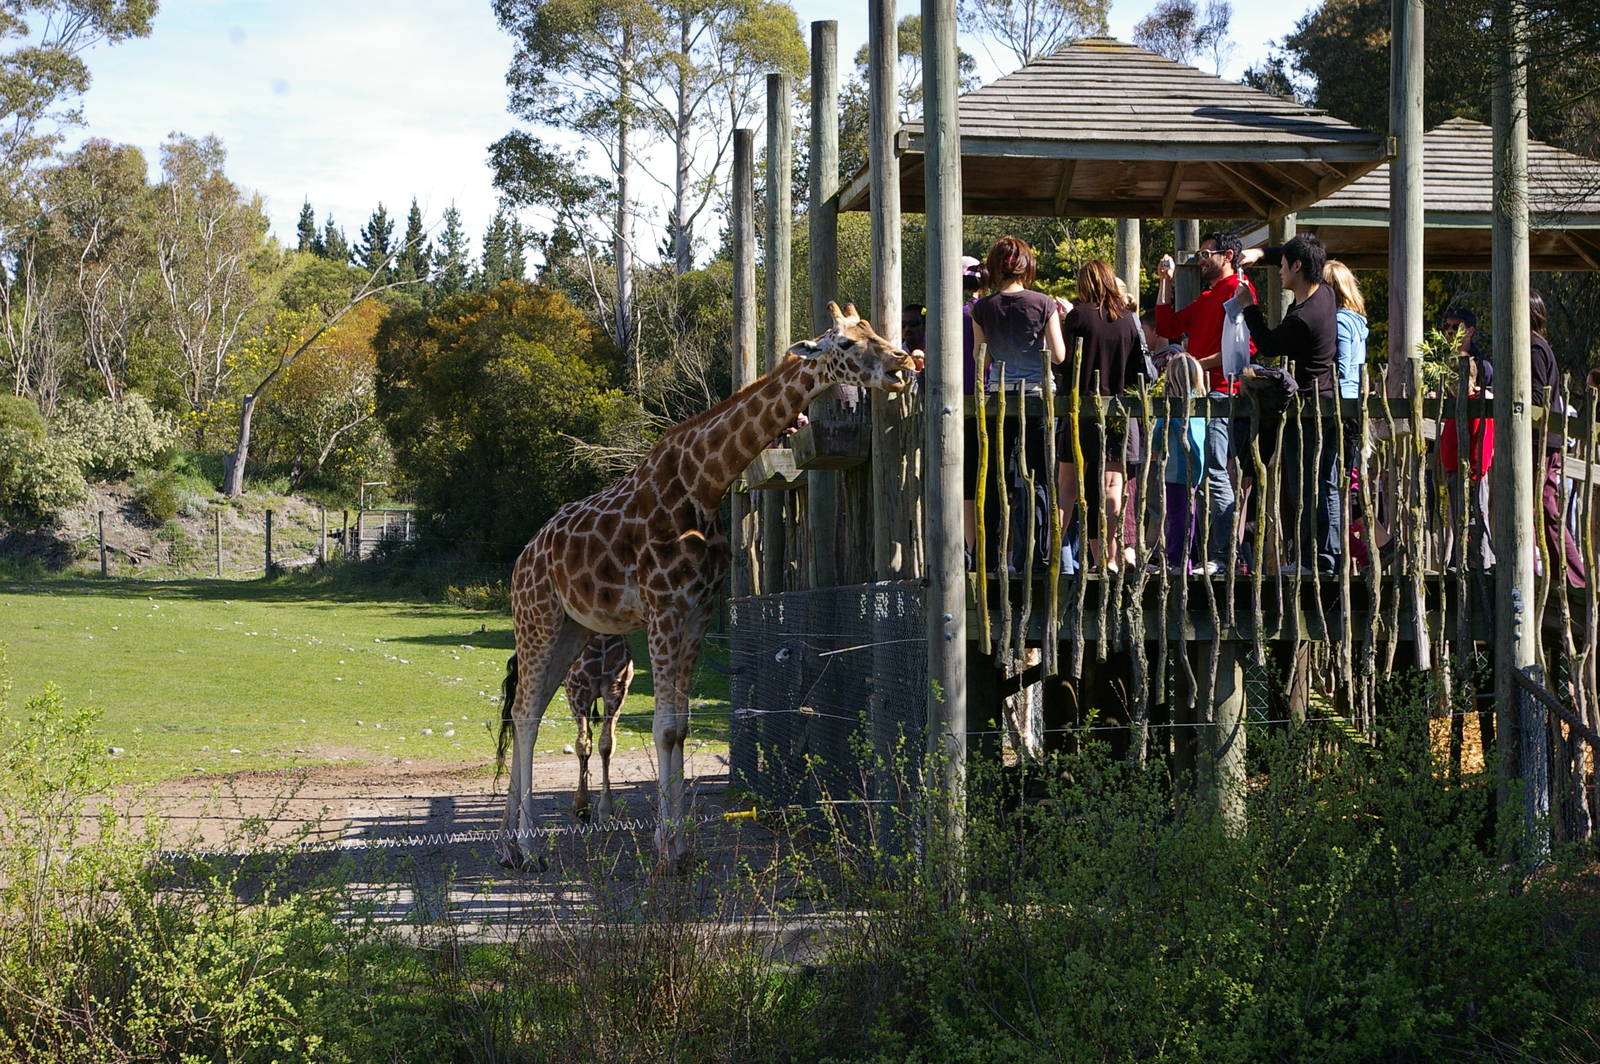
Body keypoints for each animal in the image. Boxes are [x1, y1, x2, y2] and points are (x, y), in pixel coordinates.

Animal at [495, 302, 915, 872]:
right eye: (846, 344)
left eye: (872, 329)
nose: (901, 363)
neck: (705, 482)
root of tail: (521, 562)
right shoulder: (663, 609)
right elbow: (662, 727)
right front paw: (665, 850)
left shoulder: (696, 611)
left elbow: (680, 726)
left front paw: (680, 848)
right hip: (537, 618)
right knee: (524, 715)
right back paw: (531, 849)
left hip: (571, 628)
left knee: (528, 712)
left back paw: (510, 846)